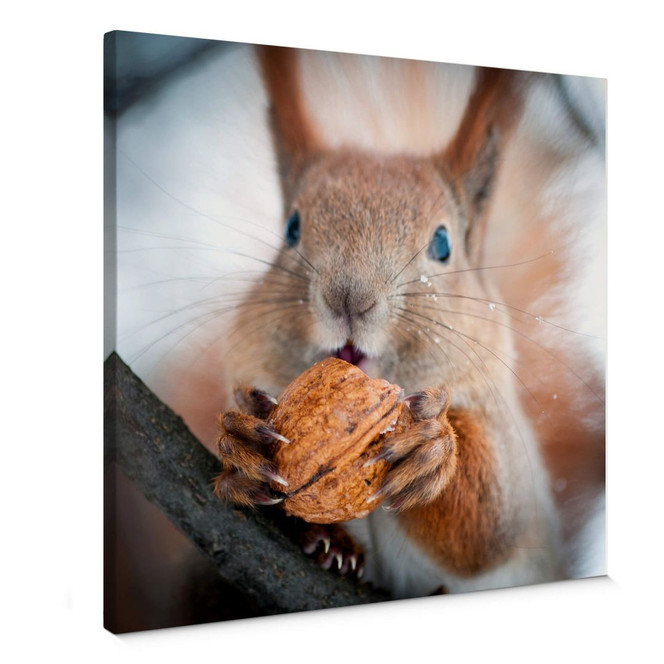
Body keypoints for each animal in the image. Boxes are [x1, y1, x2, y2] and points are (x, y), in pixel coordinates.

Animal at [210, 46, 605, 597]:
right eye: (291, 229)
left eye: (442, 243)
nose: (349, 298)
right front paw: (243, 445)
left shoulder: (511, 458)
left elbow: (485, 530)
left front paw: (431, 451)